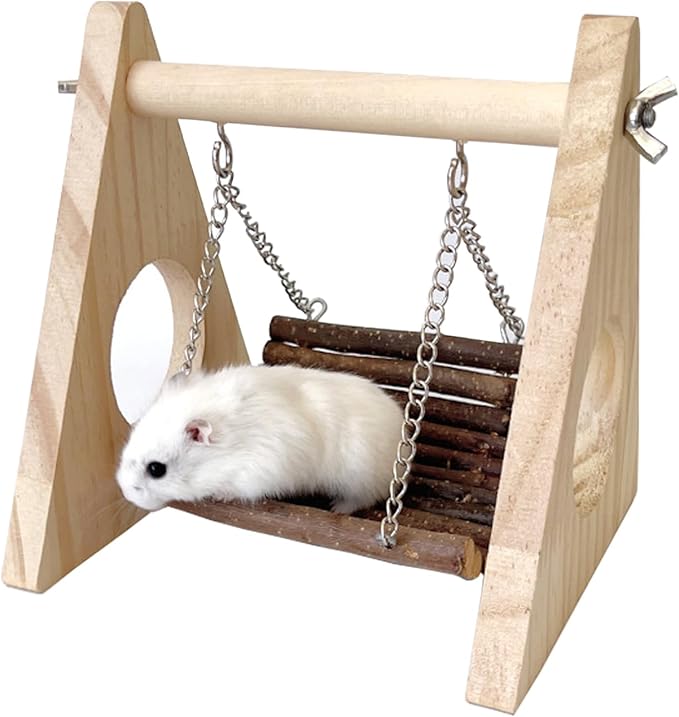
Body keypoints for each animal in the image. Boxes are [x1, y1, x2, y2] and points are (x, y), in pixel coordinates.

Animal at [116, 364, 404, 514]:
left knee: (362, 498)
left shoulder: (259, 471)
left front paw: (220, 495)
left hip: (359, 477)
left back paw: (337, 508)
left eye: (156, 469)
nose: (126, 492)